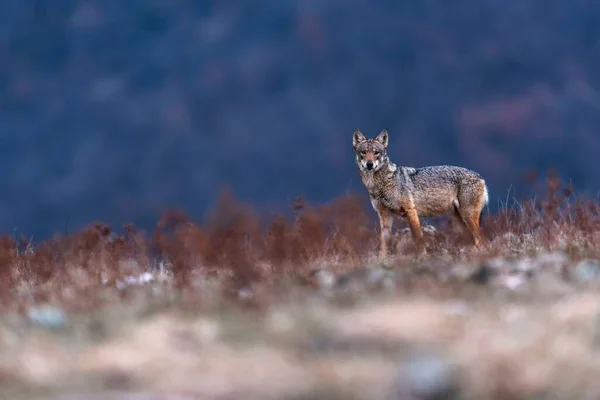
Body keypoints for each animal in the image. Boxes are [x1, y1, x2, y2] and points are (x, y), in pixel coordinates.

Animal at [354, 129, 490, 260]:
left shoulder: (411, 211)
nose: (369, 164)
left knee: (481, 240)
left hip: (468, 217)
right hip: (459, 221)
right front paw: (381, 259)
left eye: (376, 152)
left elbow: (418, 237)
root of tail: (481, 177)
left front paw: (422, 256)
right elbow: (383, 242)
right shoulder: (384, 216)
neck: (380, 184)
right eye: (364, 152)